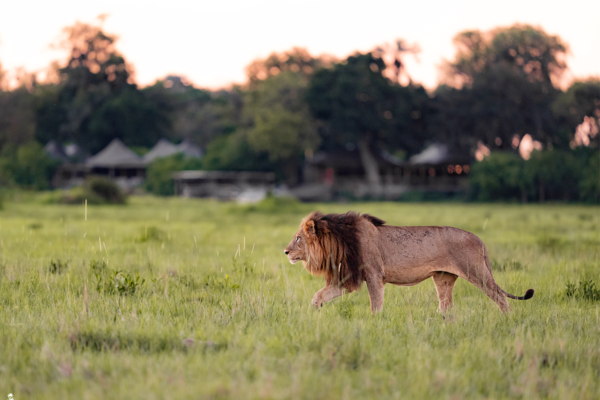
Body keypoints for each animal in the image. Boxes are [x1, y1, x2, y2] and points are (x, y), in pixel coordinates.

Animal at [286, 211, 536, 314]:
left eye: (298, 238)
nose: (286, 251)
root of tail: (479, 239)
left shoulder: (374, 275)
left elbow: (376, 305)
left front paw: (376, 323)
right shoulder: (347, 277)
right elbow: (318, 295)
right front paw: (314, 312)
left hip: (476, 272)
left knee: (500, 298)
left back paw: (507, 320)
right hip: (443, 278)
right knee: (446, 307)